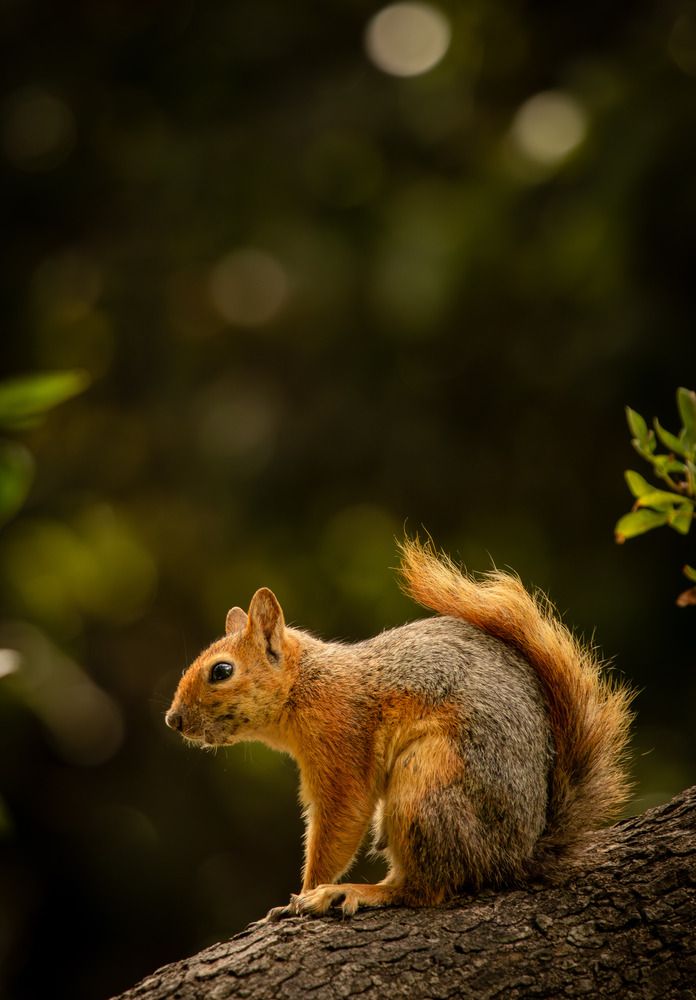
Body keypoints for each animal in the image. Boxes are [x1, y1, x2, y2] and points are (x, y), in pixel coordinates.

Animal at [165, 538, 633, 919]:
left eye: (221, 671)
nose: (173, 720)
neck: (307, 685)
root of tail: (516, 855)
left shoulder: (342, 740)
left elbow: (341, 819)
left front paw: (304, 893)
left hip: (426, 785)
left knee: (426, 889)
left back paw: (356, 892)